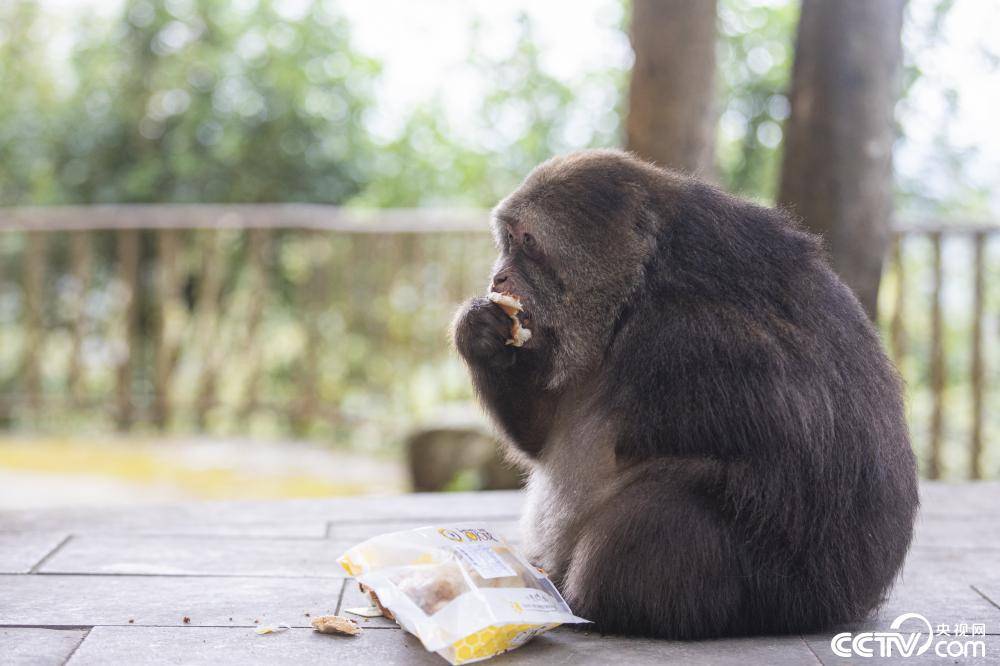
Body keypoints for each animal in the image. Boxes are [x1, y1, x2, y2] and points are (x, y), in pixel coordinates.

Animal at [451, 149, 919, 639]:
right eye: (508, 240)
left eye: (529, 242)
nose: (499, 277)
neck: (639, 290)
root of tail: (851, 602)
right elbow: (543, 435)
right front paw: (481, 332)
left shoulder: (681, 333)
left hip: (787, 592)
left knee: (666, 506)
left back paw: (592, 607)